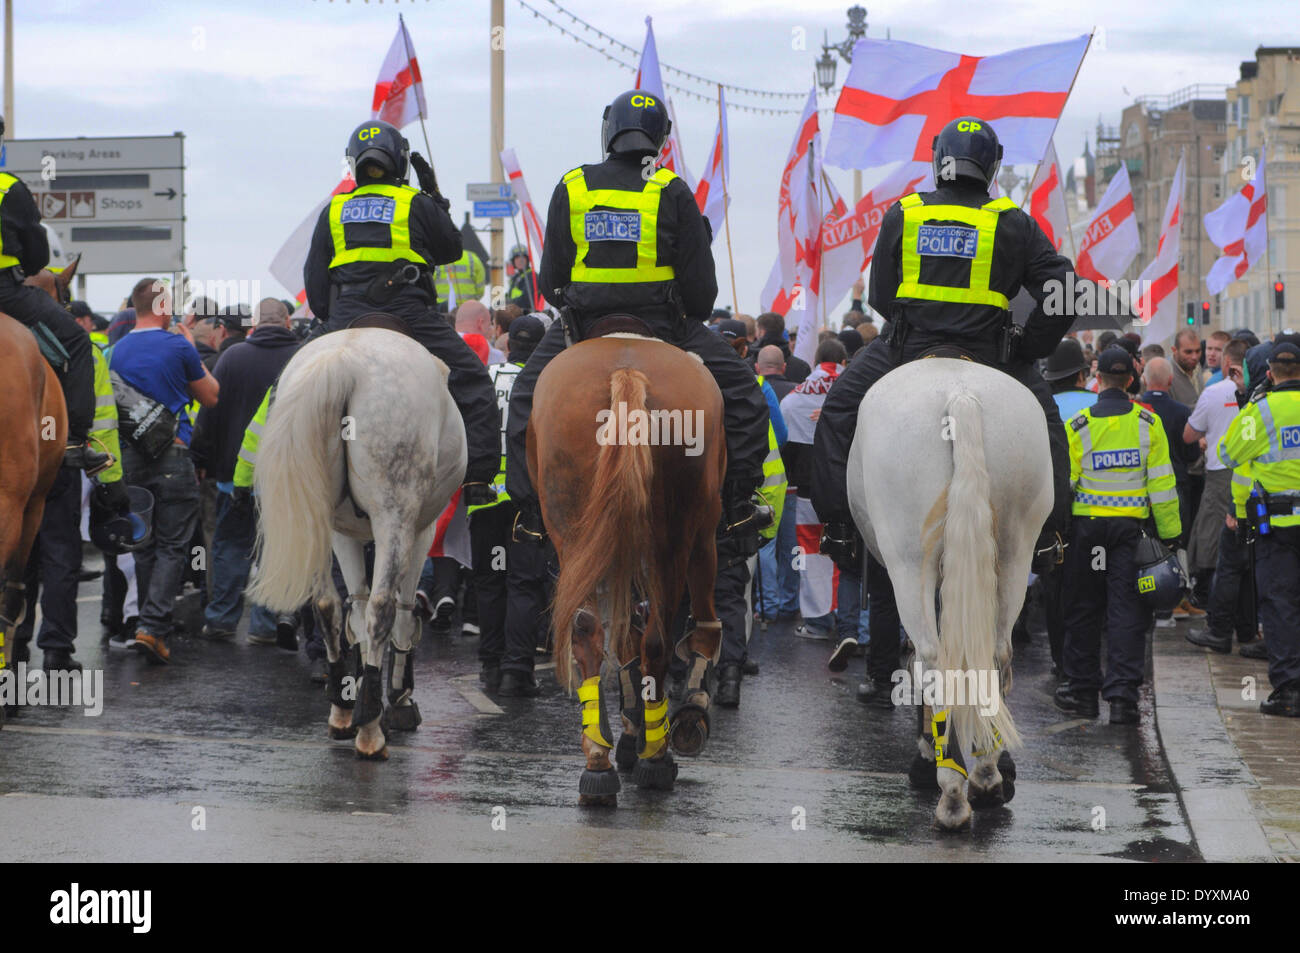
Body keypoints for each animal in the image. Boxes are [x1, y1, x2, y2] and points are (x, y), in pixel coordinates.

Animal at [245, 327, 465, 759]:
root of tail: (342, 361)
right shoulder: (421, 529)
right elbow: (399, 611)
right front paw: (396, 697)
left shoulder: (342, 532)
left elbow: (355, 611)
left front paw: (361, 689)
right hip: (394, 514)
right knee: (382, 607)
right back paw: (370, 733)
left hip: (318, 518)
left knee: (326, 605)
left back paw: (344, 710)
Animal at [530, 335, 733, 800]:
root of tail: (625, 369)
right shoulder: (704, 530)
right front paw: (684, 712)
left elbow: (624, 639)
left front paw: (628, 730)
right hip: (679, 534)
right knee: (660, 637)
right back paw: (656, 757)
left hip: (575, 530)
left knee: (588, 627)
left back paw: (598, 759)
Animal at [842, 356, 1055, 826]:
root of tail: (961, 395)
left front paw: (929, 756)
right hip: (1014, 552)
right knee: (995, 654)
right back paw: (988, 775)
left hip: (908, 561)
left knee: (932, 660)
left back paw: (952, 790)